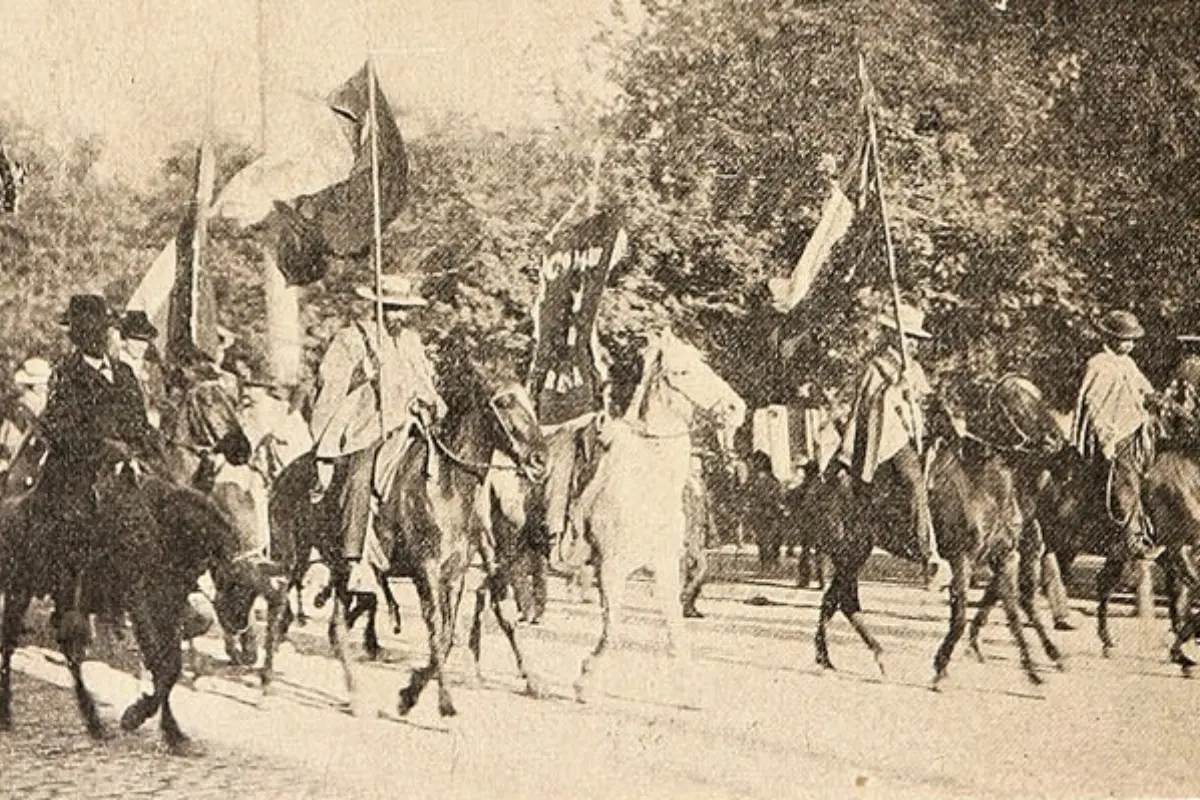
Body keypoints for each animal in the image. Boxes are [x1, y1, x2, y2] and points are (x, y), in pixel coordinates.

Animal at [1, 434, 270, 753]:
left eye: (254, 592)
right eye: (237, 584)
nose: (238, 623)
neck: (167, 528)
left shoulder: (169, 605)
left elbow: (170, 665)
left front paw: (168, 730)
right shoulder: (142, 604)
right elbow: (162, 664)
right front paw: (139, 717)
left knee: (68, 652)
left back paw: (93, 722)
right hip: (22, 589)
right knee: (13, 644)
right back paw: (10, 714)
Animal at [568, 331, 744, 705]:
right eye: (682, 371)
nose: (736, 408)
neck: (645, 480)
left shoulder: (665, 566)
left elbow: (675, 626)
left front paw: (689, 688)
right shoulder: (611, 567)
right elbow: (613, 628)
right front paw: (587, 680)